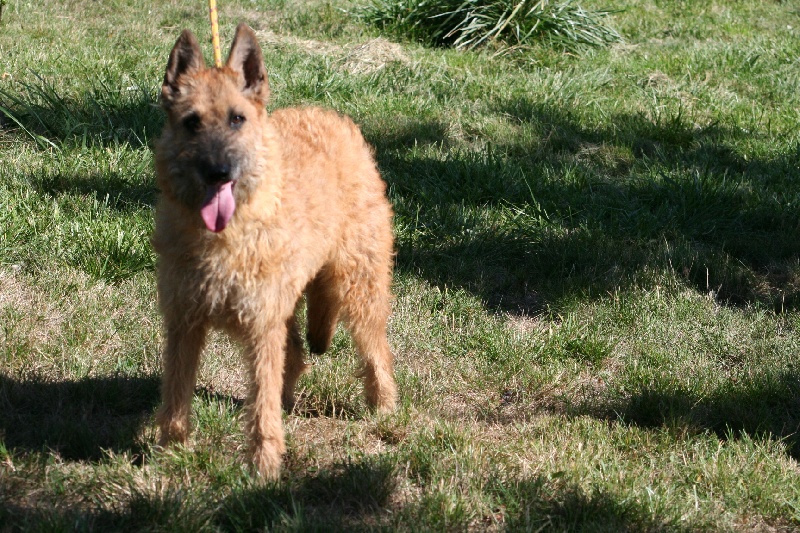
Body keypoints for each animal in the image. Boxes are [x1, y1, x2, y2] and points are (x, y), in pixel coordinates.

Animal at [152, 23, 396, 478]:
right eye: (192, 122)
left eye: (237, 119)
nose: (218, 171)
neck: (224, 237)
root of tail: (330, 116)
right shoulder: (184, 324)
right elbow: (175, 398)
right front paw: (170, 455)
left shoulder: (261, 327)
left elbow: (261, 407)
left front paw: (263, 467)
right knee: (297, 358)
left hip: (359, 289)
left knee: (376, 354)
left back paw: (384, 407)